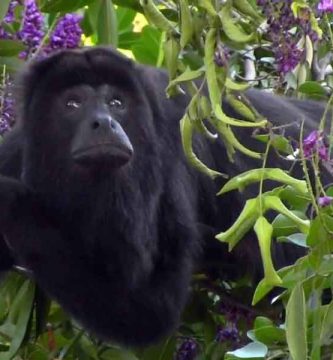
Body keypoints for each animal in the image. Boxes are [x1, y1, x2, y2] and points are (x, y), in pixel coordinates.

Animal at [0, 46, 326, 344]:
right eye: (72, 103)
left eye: (116, 103)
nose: (104, 122)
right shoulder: (17, 151)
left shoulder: (169, 159)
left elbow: (152, 312)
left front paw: (11, 198)